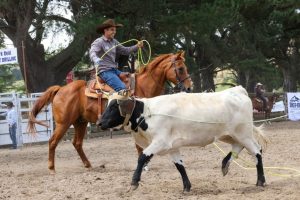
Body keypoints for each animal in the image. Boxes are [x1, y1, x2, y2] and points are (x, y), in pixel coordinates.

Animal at [27, 51, 192, 172]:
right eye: (181, 68)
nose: (189, 87)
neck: (143, 86)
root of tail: (60, 89)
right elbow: (140, 145)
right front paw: (144, 165)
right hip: (64, 123)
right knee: (53, 141)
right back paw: (51, 168)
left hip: (80, 122)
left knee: (77, 143)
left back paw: (88, 165)